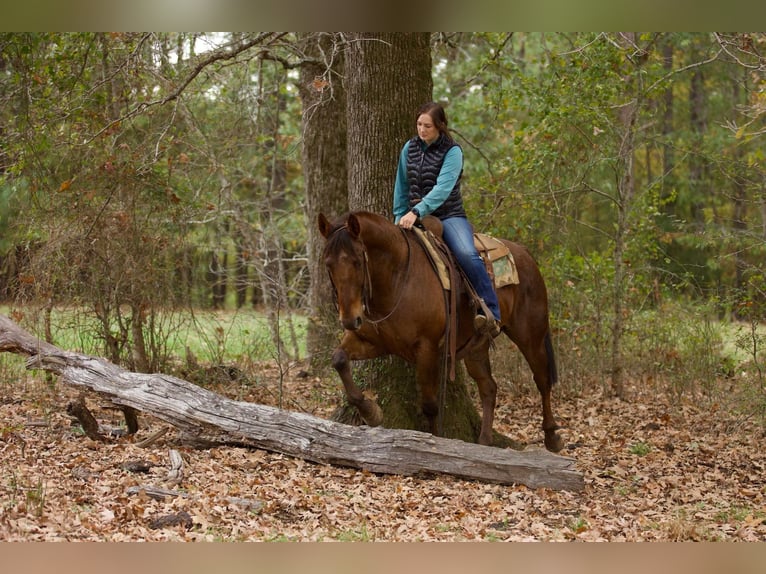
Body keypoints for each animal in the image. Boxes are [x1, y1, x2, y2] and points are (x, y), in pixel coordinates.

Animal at [318, 212, 564, 454]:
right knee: (489, 387)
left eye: (358, 261)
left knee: (542, 380)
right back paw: (484, 442)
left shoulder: (426, 348)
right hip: (476, 347)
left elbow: (430, 404)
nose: (350, 320)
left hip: (530, 335)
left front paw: (435, 443)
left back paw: (552, 437)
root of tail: (524, 253)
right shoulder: (372, 341)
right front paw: (371, 413)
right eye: (328, 264)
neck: (397, 278)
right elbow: (339, 360)